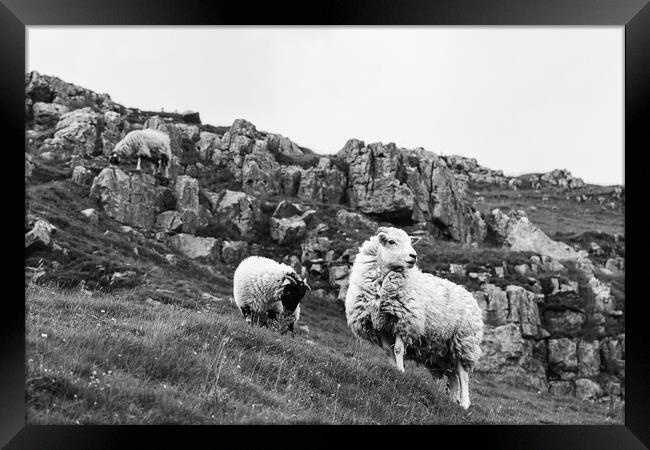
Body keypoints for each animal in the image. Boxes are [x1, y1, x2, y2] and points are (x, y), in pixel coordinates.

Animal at [344, 227, 480, 410]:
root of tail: (469, 294)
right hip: (442, 352)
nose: (413, 256)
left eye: (410, 241)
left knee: (463, 375)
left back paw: (464, 403)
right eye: (391, 241)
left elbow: (398, 350)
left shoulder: (404, 322)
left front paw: (401, 371)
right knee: (453, 376)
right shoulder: (379, 326)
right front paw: (394, 370)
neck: (383, 281)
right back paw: (452, 402)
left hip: (463, 342)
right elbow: (388, 351)